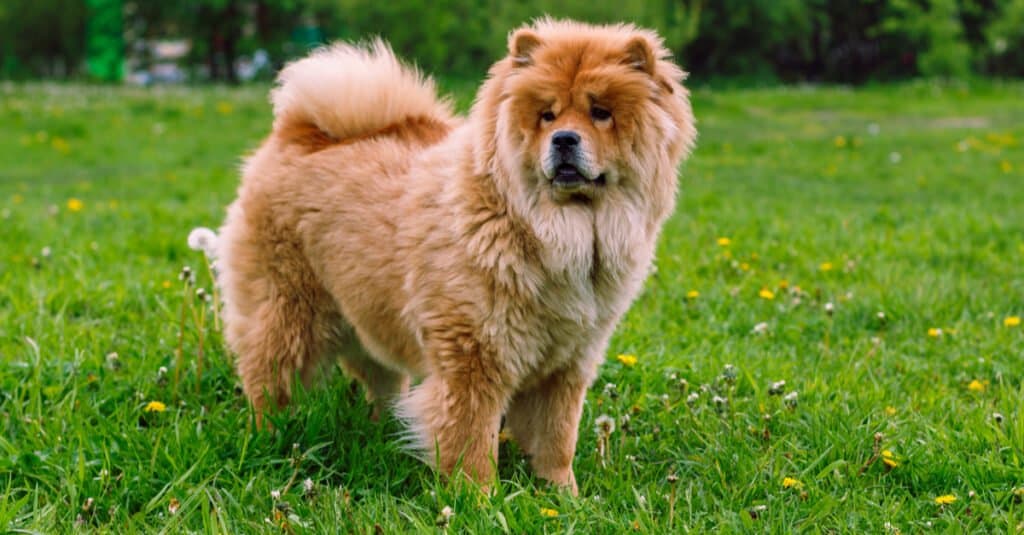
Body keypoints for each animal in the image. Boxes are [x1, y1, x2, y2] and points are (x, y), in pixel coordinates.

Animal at [216, 17, 696, 491]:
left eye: (601, 113)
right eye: (547, 115)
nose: (563, 139)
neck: (554, 232)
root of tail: (297, 131)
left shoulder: (568, 360)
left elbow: (558, 438)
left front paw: (562, 495)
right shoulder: (474, 354)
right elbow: (471, 438)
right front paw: (480, 498)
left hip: (366, 313)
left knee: (379, 378)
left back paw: (381, 429)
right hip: (289, 307)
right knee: (267, 374)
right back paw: (270, 435)